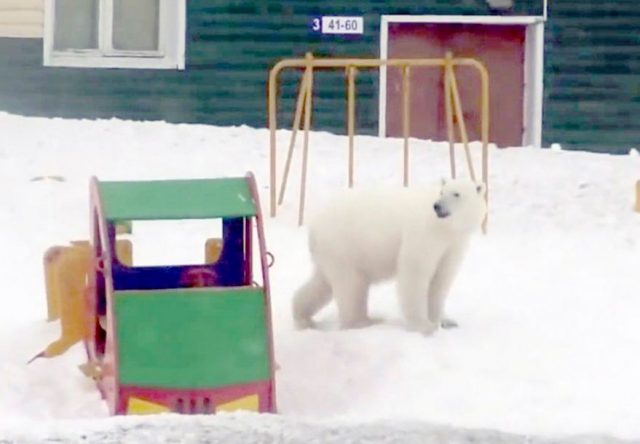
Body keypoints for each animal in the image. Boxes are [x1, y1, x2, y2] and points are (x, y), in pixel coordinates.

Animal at [292, 179, 484, 334]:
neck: (444, 228)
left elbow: (442, 279)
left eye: (456, 194)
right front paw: (424, 325)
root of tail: (314, 227)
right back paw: (364, 322)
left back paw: (303, 317)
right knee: (351, 286)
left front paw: (445, 321)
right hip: (344, 245)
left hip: (332, 253)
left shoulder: (453, 244)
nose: (437, 206)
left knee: (322, 284)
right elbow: (415, 272)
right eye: (441, 192)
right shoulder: (423, 235)